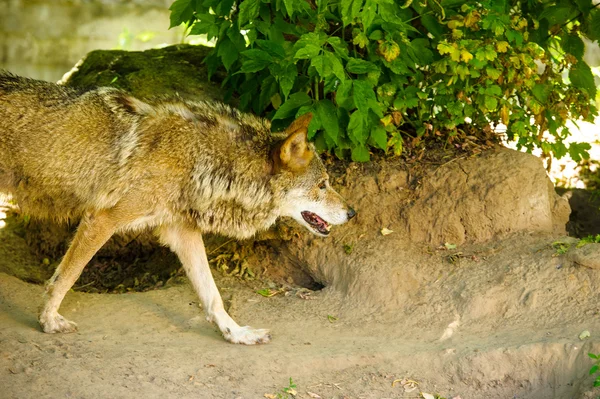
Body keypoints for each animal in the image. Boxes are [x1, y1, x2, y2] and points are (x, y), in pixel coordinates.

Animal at [0, 71, 356, 344]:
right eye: (323, 185)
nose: (352, 213)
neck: (199, 159)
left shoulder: (181, 231)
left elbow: (212, 295)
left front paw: (237, 334)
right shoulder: (100, 220)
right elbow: (66, 276)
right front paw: (48, 320)